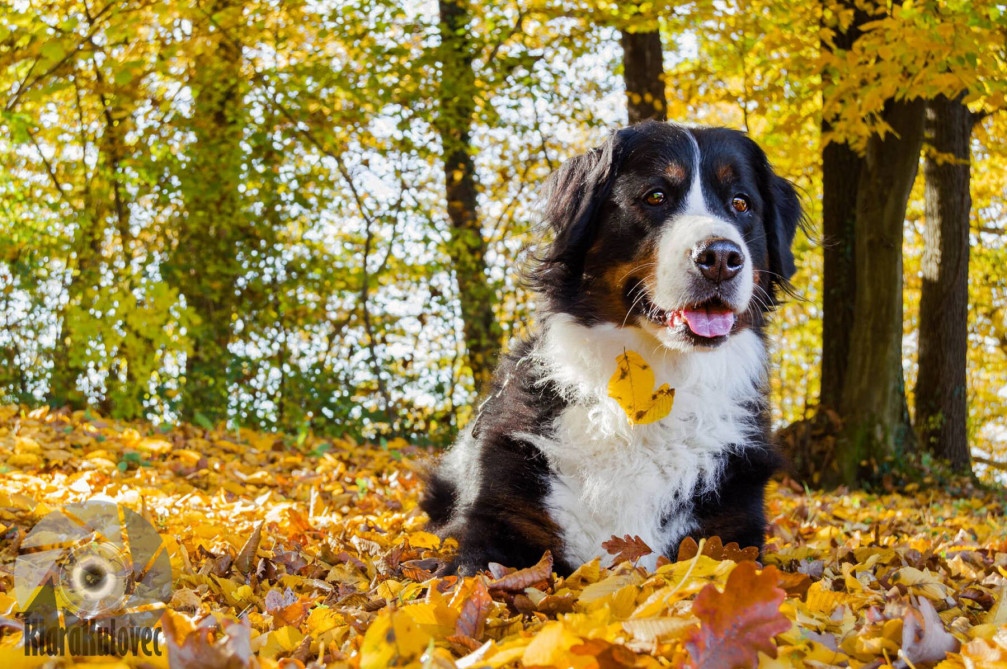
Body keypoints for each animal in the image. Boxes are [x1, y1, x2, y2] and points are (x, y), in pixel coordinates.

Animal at [422, 118, 801, 576]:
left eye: (741, 204)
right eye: (656, 196)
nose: (721, 258)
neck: (647, 392)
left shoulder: (730, 535)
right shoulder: (496, 523)